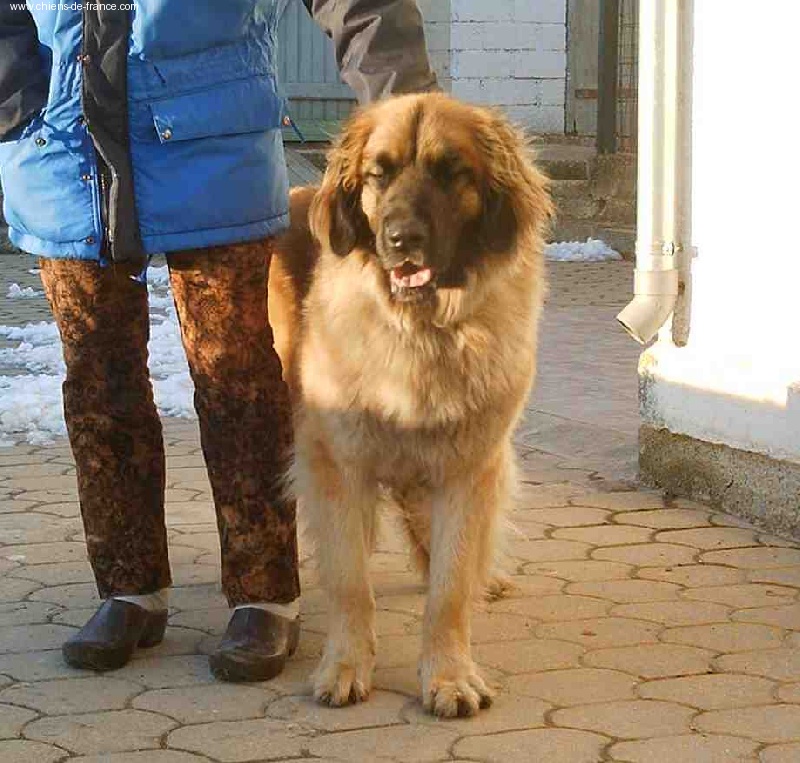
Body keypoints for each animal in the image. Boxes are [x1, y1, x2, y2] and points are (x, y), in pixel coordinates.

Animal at [268, 92, 552, 718]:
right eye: (380, 173)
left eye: (451, 173)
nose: (401, 238)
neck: (421, 330)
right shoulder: (338, 464)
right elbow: (351, 579)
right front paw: (345, 666)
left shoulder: (468, 466)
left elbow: (450, 587)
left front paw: (449, 675)